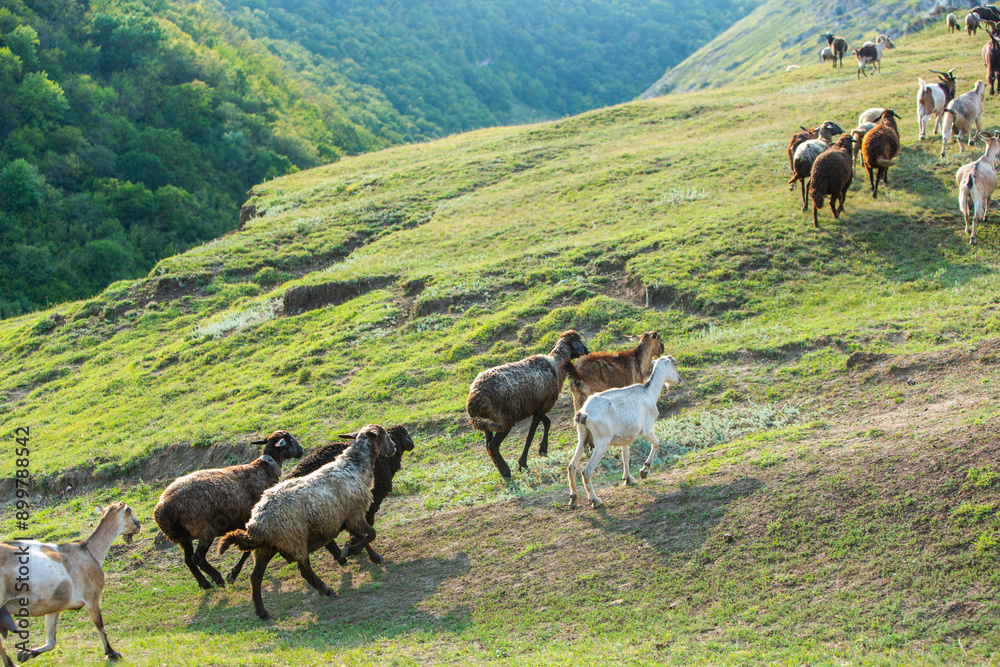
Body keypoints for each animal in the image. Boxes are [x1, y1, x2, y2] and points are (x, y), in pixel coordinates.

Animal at [0, 503, 140, 666]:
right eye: (130, 512)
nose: (138, 524)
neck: (88, 551)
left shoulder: (54, 607)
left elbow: (51, 642)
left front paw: (25, 654)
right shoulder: (92, 597)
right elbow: (99, 625)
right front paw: (112, 653)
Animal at [153, 430, 303, 589]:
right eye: (290, 439)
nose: (301, 451)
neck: (263, 469)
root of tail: (163, 508)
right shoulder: (251, 521)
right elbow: (247, 549)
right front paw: (233, 574)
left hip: (183, 536)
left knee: (188, 560)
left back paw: (204, 583)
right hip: (203, 529)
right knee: (197, 558)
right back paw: (217, 578)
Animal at [219, 424, 394, 620]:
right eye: (384, 435)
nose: (394, 447)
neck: (355, 466)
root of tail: (257, 523)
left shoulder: (348, 517)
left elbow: (363, 537)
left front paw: (371, 556)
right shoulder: (355, 515)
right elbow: (371, 534)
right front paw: (352, 551)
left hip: (266, 548)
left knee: (255, 578)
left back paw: (262, 612)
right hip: (294, 540)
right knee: (305, 571)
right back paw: (326, 590)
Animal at [466, 330, 588, 478]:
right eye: (580, 340)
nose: (587, 350)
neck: (556, 364)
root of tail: (474, 399)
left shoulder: (536, 407)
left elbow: (547, 422)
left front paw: (543, 449)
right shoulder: (541, 406)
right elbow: (530, 435)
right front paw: (522, 463)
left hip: (487, 423)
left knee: (488, 445)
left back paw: (501, 469)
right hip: (504, 421)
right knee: (492, 446)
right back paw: (506, 471)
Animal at [567, 357, 680, 508]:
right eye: (675, 365)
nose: (679, 379)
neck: (649, 392)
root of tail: (583, 413)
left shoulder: (624, 437)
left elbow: (625, 456)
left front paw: (628, 479)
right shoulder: (646, 429)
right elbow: (657, 444)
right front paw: (644, 471)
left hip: (583, 437)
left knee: (572, 466)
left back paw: (573, 498)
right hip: (602, 442)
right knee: (586, 471)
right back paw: (595, 500)